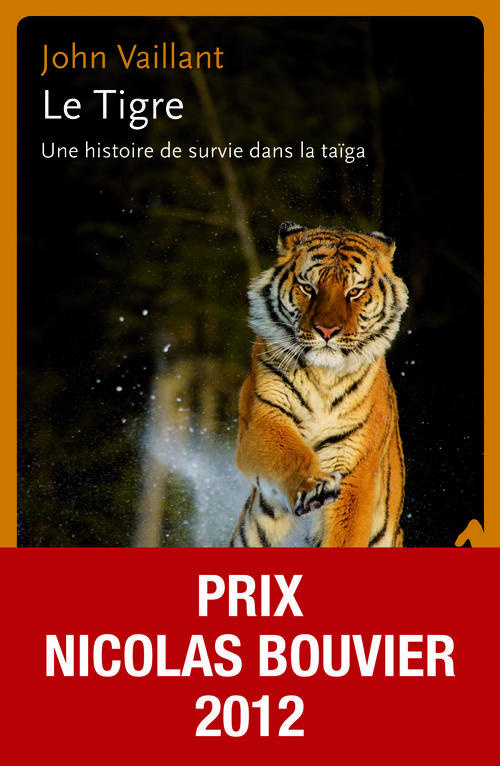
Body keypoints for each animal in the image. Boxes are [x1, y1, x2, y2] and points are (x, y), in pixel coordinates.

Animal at [231, 221, 409, 548]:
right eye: (308, 288)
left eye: (354, 291)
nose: (327, 330)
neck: (323, 377)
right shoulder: (262, 418)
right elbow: (288, 454)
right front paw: (315, 487)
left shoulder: (355, 466)